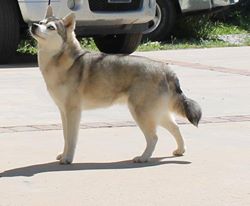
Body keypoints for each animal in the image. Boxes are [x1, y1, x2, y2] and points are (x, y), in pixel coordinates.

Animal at [30, 5, 201, 165]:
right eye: (41, 22)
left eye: (51, 27)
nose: (33, 25)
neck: (60, 62)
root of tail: (166, 68)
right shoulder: (63, 112)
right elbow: (65, 137)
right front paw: (63, 154)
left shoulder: (73, 111)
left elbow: (71, 138)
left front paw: (68, 159)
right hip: (157, 113)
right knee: (176, 128)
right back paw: (180, 150)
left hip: (141, 113)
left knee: (154, 137)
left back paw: (143, 157)